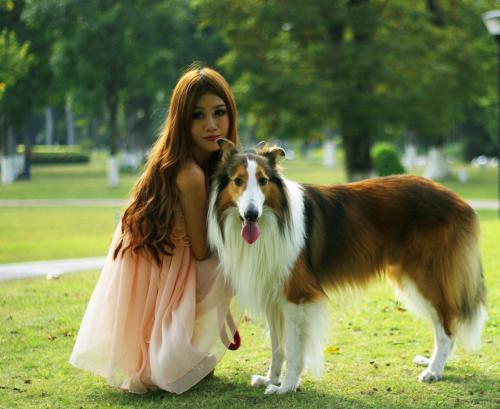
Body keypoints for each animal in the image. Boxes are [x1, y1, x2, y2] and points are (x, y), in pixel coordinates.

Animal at [207, 139, 487, 394]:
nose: (251, 214)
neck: (274, 219)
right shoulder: (273, 298)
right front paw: (271, 379)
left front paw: (286, 387)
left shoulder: (296, 297)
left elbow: (295, 350)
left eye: (263, 180)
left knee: (447, 326)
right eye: (238, 181)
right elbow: (278, 348)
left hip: (425, 277)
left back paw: (434, 370)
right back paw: (432, 363)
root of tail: (459, 200)